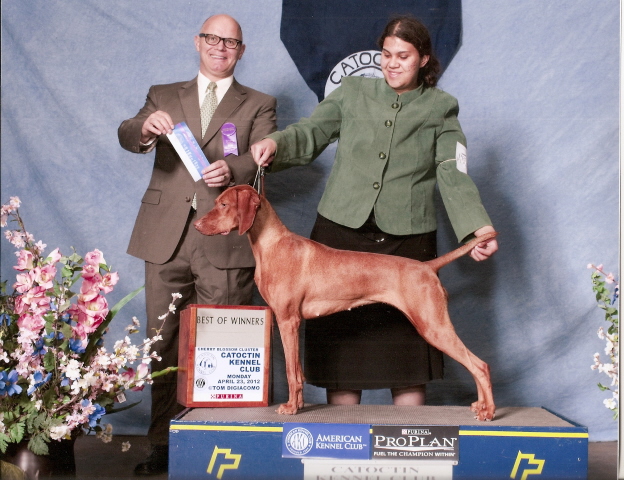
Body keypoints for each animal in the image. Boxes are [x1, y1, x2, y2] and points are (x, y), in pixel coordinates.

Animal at [195, 185, 496, 421]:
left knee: (479, 365)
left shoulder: (287, 320)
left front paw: (291, 408)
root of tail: (427, 266)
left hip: (434, 325)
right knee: (475, 364)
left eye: (223, 204)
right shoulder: (293, 322)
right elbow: (299, 373)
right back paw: (480, 405)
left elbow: (291, 372)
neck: (272, 245)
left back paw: (489, 411)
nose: (196, 225)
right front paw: (300, 405)